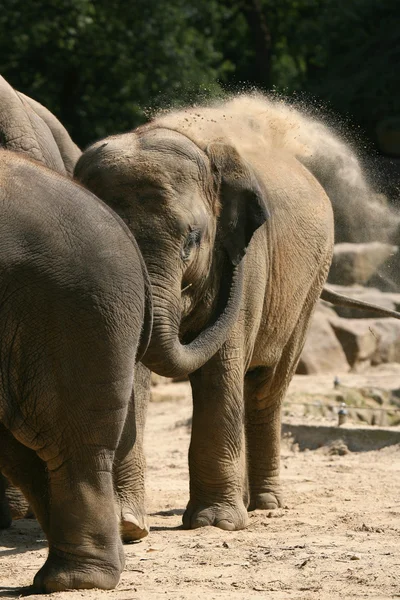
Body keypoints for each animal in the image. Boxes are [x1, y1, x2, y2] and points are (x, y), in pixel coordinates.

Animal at [76, 95, 400, 536]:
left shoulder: (248, 260)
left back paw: (265, 504)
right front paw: (128, 527)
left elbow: (219, 371)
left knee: (265, 389)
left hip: (310, 285)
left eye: (192, 241)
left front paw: (215, 523)